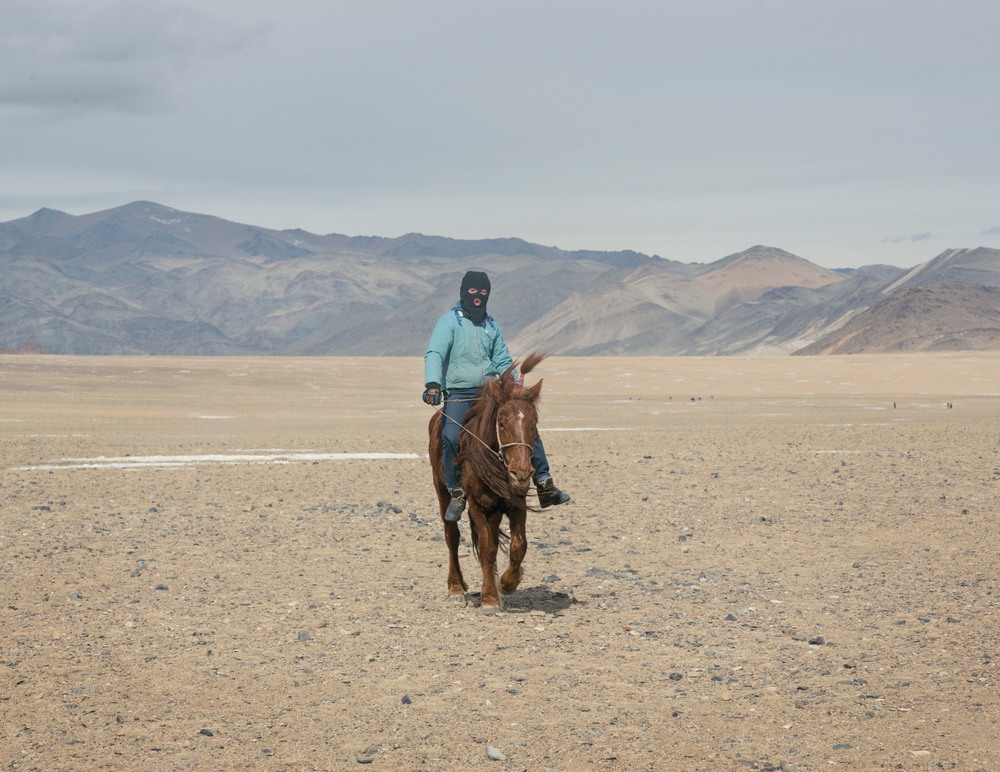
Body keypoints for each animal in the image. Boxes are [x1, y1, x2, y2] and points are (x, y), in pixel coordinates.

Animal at [426, 352, 544, 612]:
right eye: (501, 423)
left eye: (534, 423)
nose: (521, 473)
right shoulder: (477, 504)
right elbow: (488, 548)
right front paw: (489, 598)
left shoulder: (514, 503)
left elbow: (518, 546)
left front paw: (507, 584)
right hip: (442, 489)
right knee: (452, 537)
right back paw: (456, 588)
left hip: (495, 508)